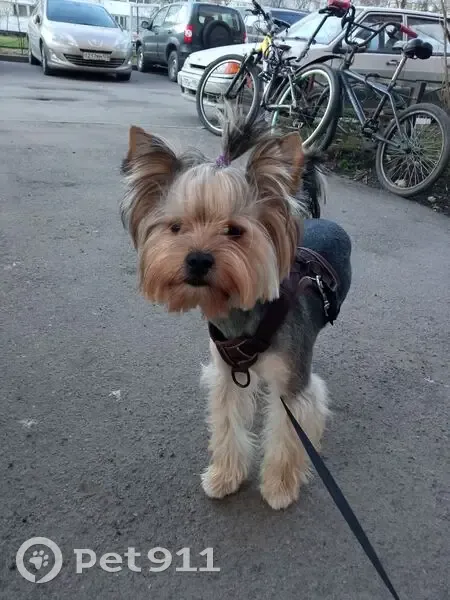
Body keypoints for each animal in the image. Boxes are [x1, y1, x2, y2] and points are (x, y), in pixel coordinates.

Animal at [120, 110, 352, 510]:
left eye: (234, 231)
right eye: (176, 227)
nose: (197, 259)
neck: (245, 316)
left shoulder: (293, 388)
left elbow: (288, 435)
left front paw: (279, 487)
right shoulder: (227, 377)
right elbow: (228, 424)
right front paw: (225, 476)